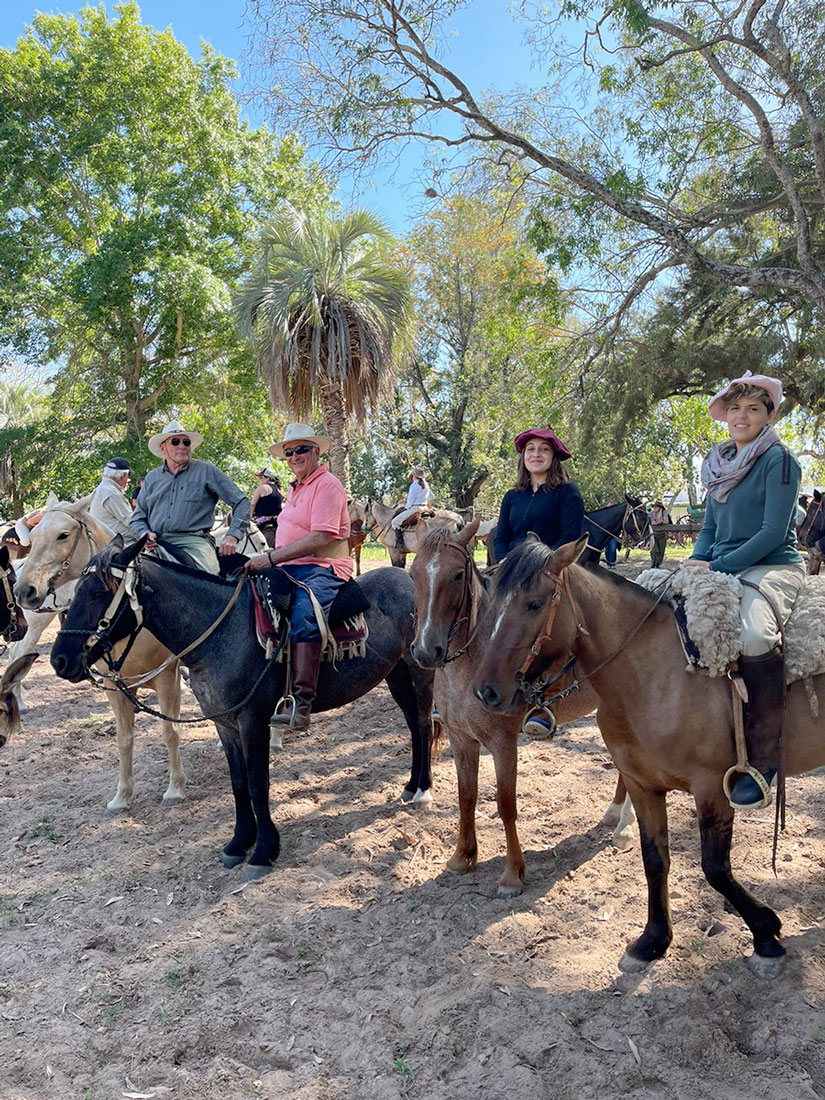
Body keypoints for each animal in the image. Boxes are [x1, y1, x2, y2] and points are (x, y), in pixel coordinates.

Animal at [50, 536, 440, 880]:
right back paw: (410, 786)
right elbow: (238, 783)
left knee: (423, 723)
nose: (60, 660)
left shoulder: (254, 721)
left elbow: (257, 784)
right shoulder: (225, 724)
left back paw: (424, 791)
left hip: (420, 671)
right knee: (412, 725)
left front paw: (264, 851)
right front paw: (239, 843)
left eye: (97, 592)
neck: (222, 632)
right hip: (396, 674)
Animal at [411, 521, 638, 893]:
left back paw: (625, 829)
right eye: (413, 573)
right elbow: (466, 795)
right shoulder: (462, 740)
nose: (426, 651)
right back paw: (614, 814)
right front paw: (462, 857)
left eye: (457, 574)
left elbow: (506, 805)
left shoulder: (503, 743)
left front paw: (512, 873)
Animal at [470, 536, 825, 976]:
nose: (486, 691)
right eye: (491, 602)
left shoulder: (712, 787)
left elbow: (715, 868)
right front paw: (653, 940)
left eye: (534, 604)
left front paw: (765, 932)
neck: (652, 675)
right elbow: (654, 860)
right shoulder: (642, 785)